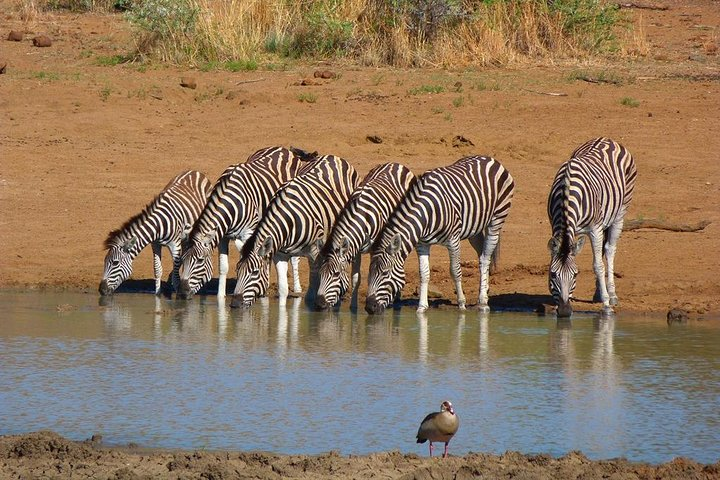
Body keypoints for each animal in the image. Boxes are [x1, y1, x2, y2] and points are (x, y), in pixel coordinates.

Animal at [175, 144, 316, 298]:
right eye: (182, 259)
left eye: (200, 260)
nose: (182, 293)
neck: (232, 203)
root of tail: (283, 148)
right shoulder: (223, 236)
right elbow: (223, 266)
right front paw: (220, 296)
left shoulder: (248, 233)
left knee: (293, 257)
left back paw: (296, 288)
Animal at [232, 156, 358, 310]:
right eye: (237, 270)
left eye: (255, 272)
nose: (234, 304)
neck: (288, 220)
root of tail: (333, 157)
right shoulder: (280, 255)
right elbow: (283, 289)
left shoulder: (314, 253)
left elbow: (313, 288)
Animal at [316, 162, 414, 312]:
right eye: (320, 274)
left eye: (336, 274)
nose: (319, 305)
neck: (362, 216)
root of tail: (395, 163)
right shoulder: (355, 248)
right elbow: (355, 278)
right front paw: (353, 308)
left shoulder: (376, 247)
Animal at [366, 155, 512, 316]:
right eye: (369, 273)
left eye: (385, 273)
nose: (369, 307)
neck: (426, 213)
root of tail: (489, 158)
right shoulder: (422, 244)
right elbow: (424, 274)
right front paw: (422, 307)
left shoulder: (453, 240)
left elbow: (455, 270)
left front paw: (461, 304)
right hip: (475, 228)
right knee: (481, 255)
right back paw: (485, 289)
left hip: (496, 219)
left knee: (486, 258)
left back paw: (483, 301)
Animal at [544, 138, 636, 318]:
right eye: (552, 274)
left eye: (575, 274)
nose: (564, 312)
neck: (566, 195)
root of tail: (607, 139)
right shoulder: (555, 225)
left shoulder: (595, 229)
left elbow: (598, 265)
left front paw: (606, 305)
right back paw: (599, 292)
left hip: (620, 212)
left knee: (609, 250)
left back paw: (611, 295)